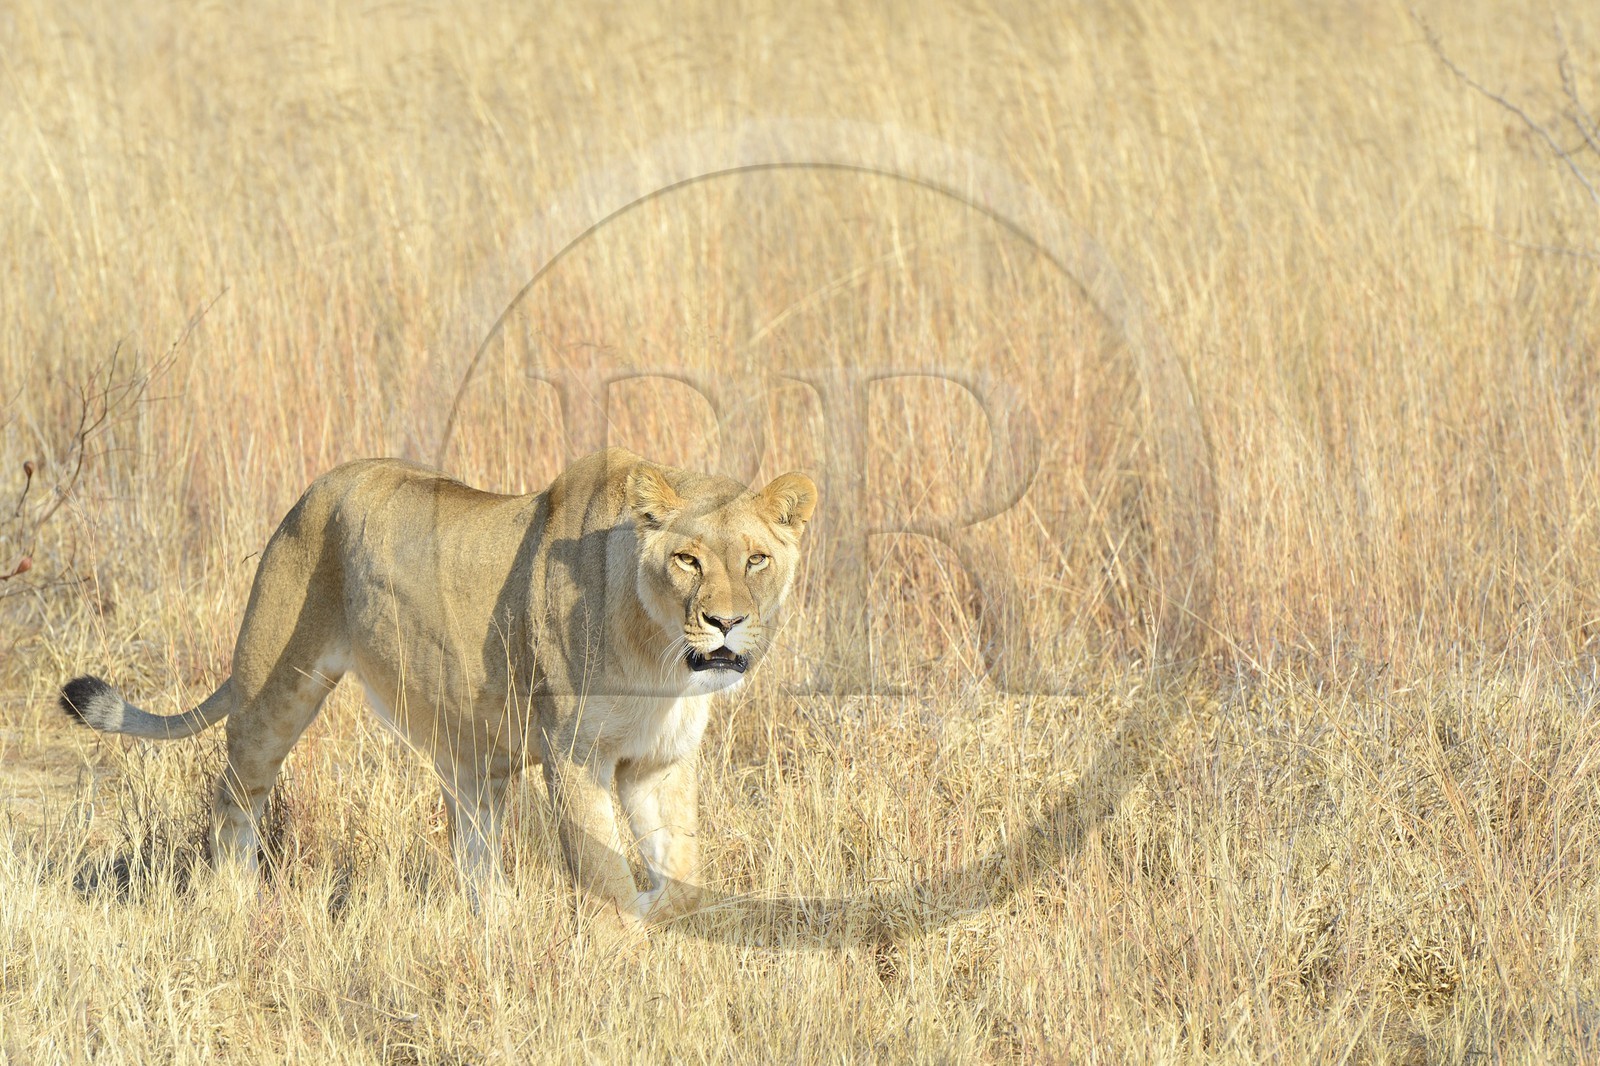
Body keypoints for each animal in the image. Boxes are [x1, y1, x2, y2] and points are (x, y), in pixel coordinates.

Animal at [58, 447, 817, 923]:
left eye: (757, 560)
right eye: (687, 560)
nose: (726, 623)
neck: (661, 660)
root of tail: (315, 488)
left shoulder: (660, 763)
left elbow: (682, 877)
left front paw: (660, 921)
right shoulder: (576, 756)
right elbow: (605, 878)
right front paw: (621, 955)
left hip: (474, 749)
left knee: (472, 846)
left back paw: (501, 924)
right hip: (276, 685)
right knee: (233, 794)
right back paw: (233, 904)